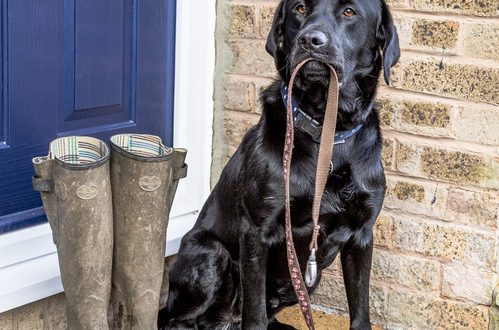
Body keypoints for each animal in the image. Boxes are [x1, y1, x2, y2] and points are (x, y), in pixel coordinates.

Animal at [158, 1, 400, 328]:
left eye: (350, 12)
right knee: (178, 318)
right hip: (210, 253)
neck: (327, 132)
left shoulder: (362, 235)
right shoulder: (257, 231)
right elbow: (255, 314)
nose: (310, 41)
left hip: (306, 281)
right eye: (300, 8)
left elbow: (361, 310)